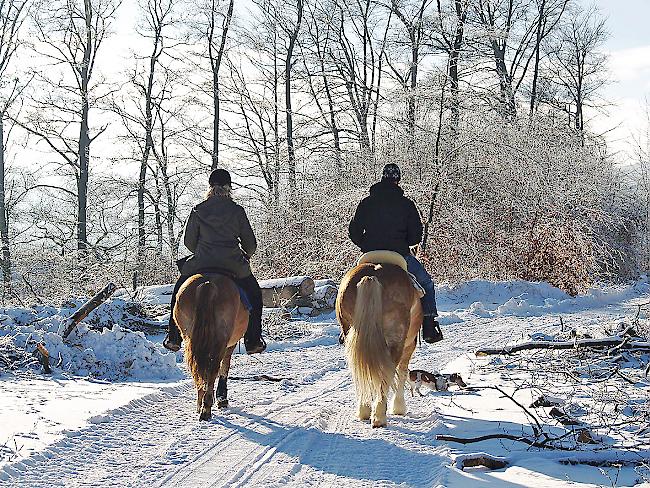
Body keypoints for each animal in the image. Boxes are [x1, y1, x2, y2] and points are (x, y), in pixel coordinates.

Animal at [172, 274, 248, 420]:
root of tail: (207, 284)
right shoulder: (230, 345)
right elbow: (224, 367)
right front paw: (221, 399)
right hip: (220, 341)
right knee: (213, 369)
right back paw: (206, 409)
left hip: (190, 339)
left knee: (198, 370)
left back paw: (200, 404)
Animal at [336, 255, 422, 428]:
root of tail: (372, 276)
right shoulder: (409, 345)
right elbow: (402, 372)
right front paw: (399, 408)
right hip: (397, 341)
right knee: (387, 373)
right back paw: (379, 417)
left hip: (352, 337)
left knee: (360, 370)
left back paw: (364, 410)